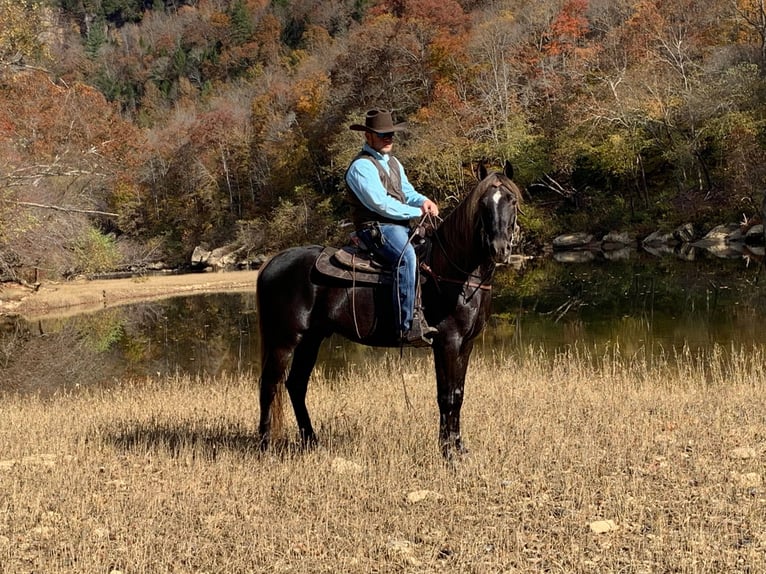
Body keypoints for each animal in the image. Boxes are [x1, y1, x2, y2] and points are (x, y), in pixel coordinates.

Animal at [256, 161, 520, 460]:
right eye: (483, 203)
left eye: (511, 200)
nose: (500, 249)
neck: (453, 271)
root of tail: (273, 261)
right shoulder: (447, 342)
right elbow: (446, 395)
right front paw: (448, 453)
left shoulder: (466, 344)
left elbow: (458, 393)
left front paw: (459, 447)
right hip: (284, 340)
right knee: (269, 386)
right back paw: (265, 447)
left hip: (311, 339)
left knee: (296, 384)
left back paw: (312, 441)